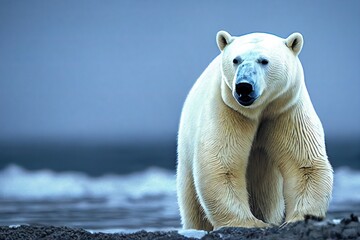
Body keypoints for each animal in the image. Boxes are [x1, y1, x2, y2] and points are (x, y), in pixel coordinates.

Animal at [176, 30, 334, 231]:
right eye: (236, 60)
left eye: (264, 60)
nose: (244, 86)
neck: (260, 109)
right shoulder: (229, 109)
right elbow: (221, 164)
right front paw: (250, 223)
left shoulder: (285, 108)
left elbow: (304, 165)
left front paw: (299, 218)